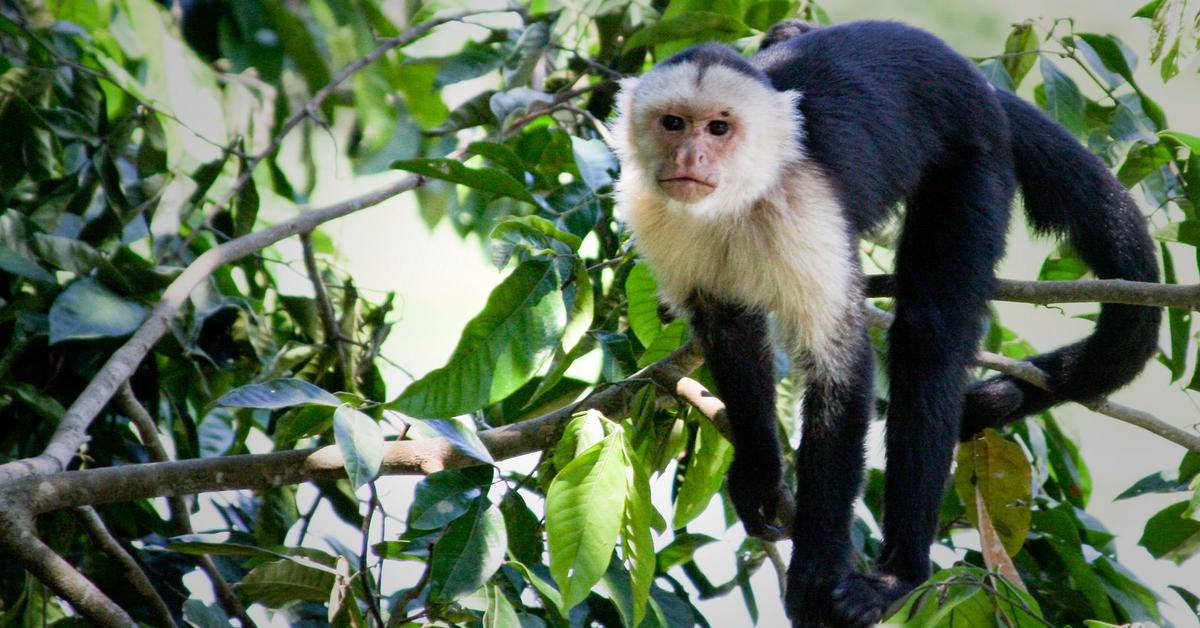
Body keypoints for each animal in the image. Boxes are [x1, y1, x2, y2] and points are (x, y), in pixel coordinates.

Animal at [609, 17, 1161, 624]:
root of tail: (974, 79)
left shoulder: (805, 210)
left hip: (975, 158)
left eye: (718, 128)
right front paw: (759, 477)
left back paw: (900, 574)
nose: (690, 158)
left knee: (929, 339)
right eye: (674, 123)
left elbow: (841, 368)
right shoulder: (658, 217)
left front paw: (816, 570)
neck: (739, 198)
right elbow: (729, 330)